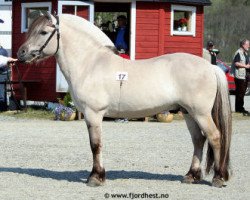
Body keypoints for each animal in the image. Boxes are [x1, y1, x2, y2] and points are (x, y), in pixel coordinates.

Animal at [17, 12, 232, 188]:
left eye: (44, 32)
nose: (21, 53)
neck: (90, 63)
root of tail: (210, 66)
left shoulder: (93, 114)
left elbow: (95, 145)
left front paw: (96, 177)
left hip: (201, 113)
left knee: (215, 137)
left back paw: (218, 178)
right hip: (188, 113)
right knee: (198, 140)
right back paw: (191, 176)